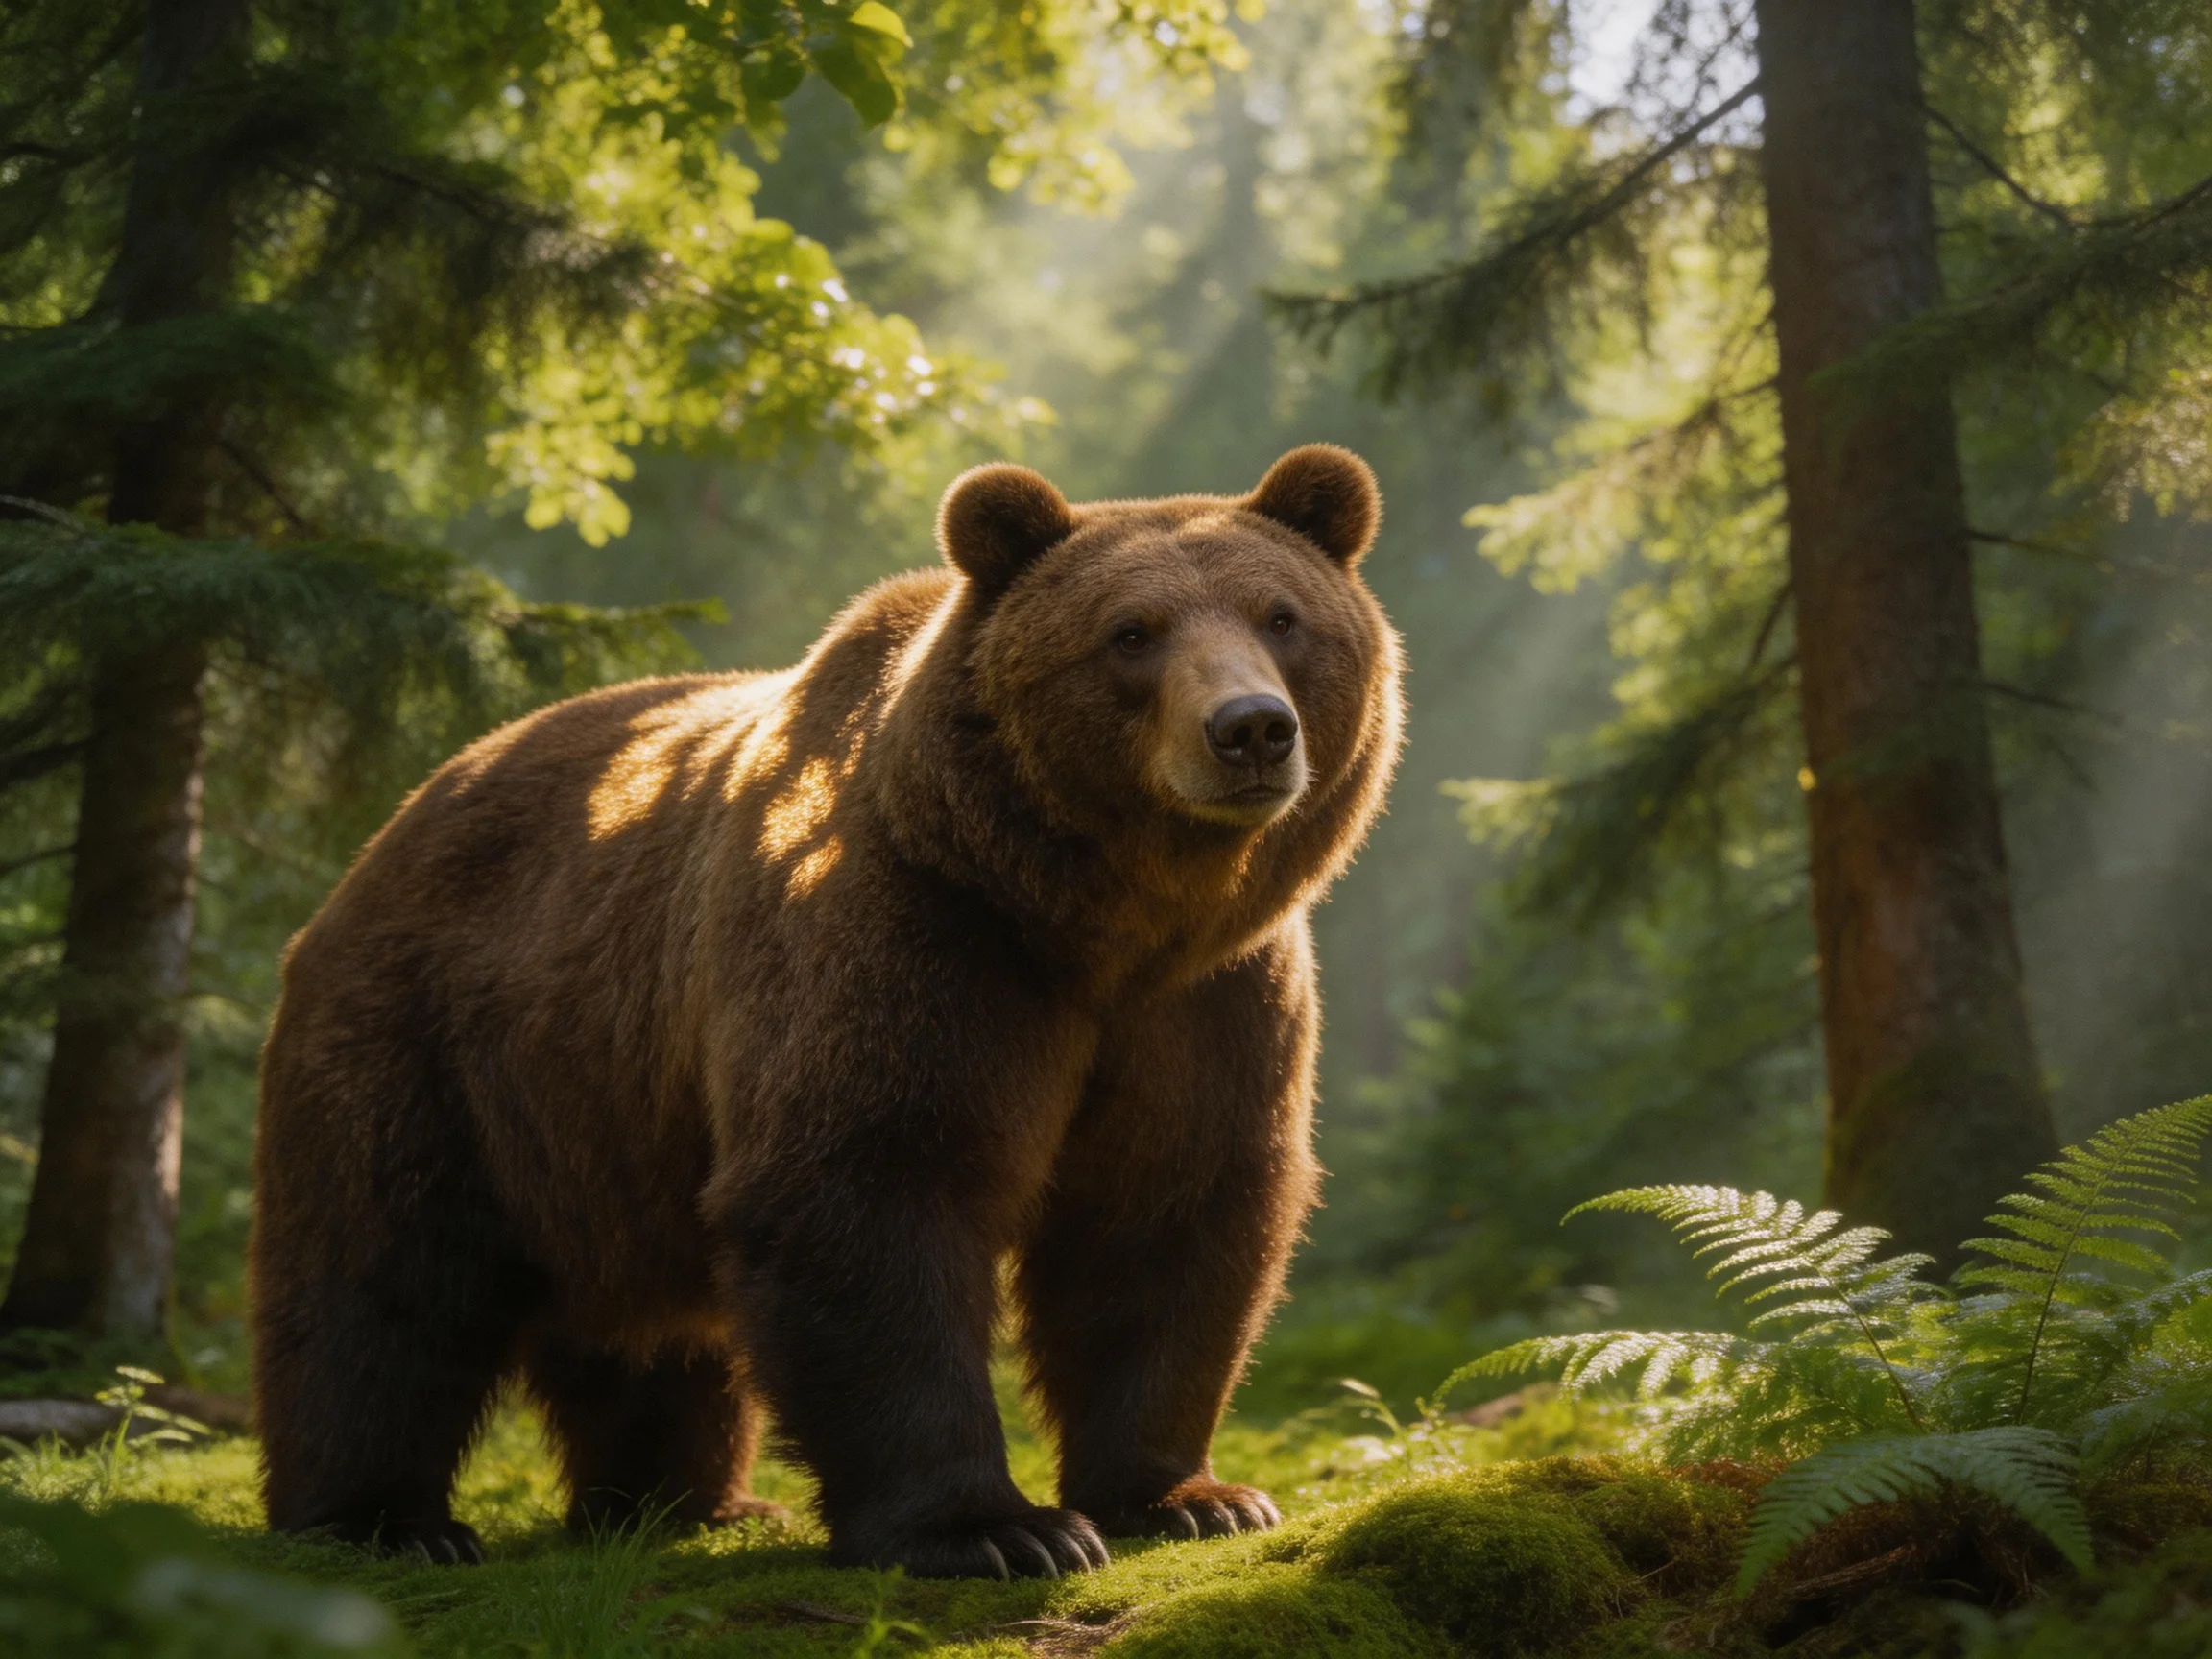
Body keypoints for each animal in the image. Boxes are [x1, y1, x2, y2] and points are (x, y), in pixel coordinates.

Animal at [249, 445, 1404, 1576]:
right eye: (1131, 633)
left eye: (1281, 617)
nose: (1249, 730)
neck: (1097, 916)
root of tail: (397, 821)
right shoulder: (916, 941)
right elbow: (870, 1183)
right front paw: (997, 1529)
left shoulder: (1206, 1000)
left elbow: (1166, 1212)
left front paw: (1189, 1497)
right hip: (431, 1041)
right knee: (383, 1277)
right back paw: (384, 1519)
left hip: (603, 1118)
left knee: (650, 1334)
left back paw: (680, 1502)